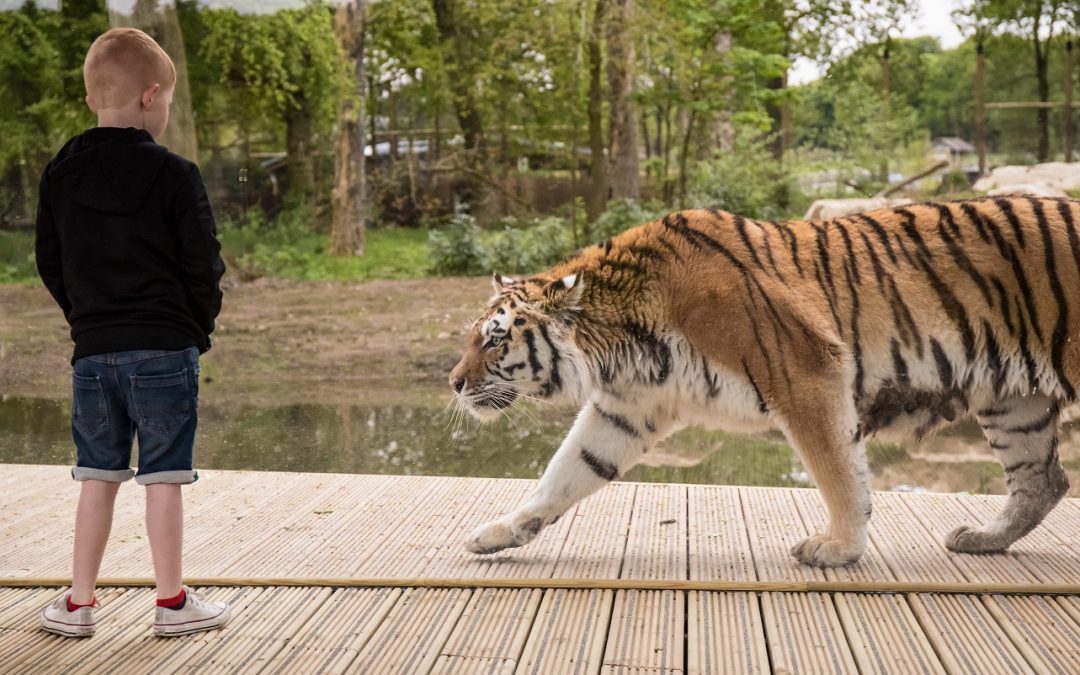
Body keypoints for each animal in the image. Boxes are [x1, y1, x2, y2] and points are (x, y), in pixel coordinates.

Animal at [444, 194, 1071, 561]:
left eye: (495, 339)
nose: (452, 382)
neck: (622, 339)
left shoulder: (808, 374)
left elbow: (840, 473)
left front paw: (840, 548)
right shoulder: (627, 409)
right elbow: (564, 474)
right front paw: (498, 533)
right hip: (1015, 399)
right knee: (1044, 480)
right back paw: (982, 539)